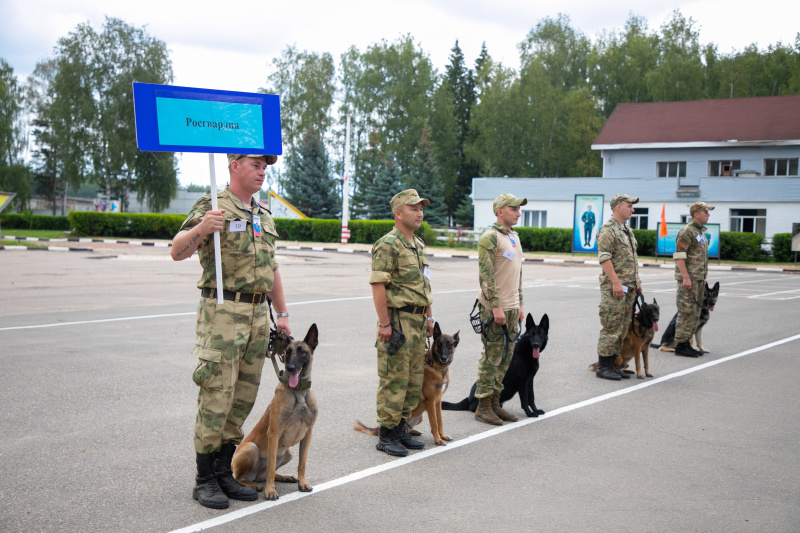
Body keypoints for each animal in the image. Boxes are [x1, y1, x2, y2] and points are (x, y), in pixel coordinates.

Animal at [230, 322, 318, 500]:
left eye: (302, 352)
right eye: (288, 352)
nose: (290, 368)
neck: (299, 392)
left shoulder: (308, 434)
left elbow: (302, 463)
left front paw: (302, 483)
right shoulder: (274, 433)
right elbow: (270, 467)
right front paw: (270, 491)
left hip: (289, 452)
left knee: (263, 475)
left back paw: (284, 477)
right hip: (251, 448)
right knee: (240, 478)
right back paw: (253, 485)